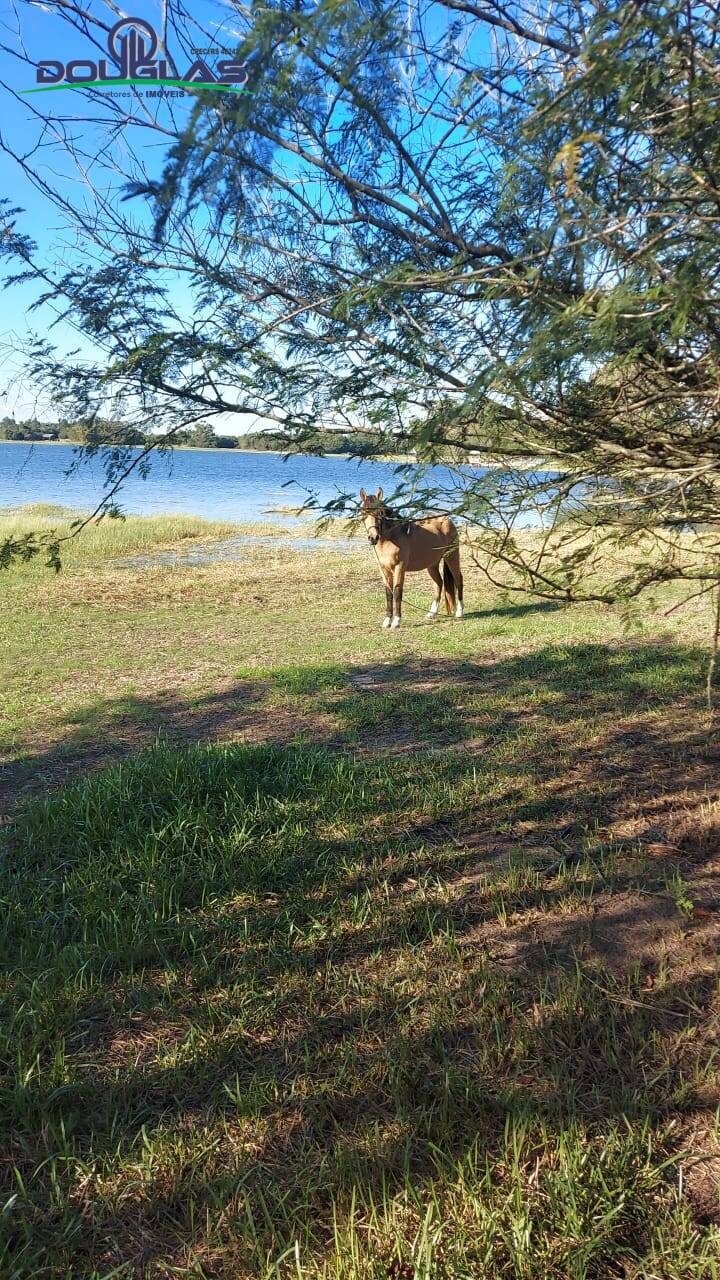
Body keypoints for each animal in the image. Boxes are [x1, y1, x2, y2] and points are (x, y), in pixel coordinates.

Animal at [356, 483, 461, 629]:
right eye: (363, 512)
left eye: (380, 513)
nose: (373, 538)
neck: (391, 538)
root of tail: (447, 520)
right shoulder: (384, 570)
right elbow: (388, 593)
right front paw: (387, 621)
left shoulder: (399, 567)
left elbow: (397, 592)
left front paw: (396, 621)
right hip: (432, 564)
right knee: (438, 583)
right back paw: (431, 614)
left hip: (452, 557)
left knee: (459, 580)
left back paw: (459, 613)